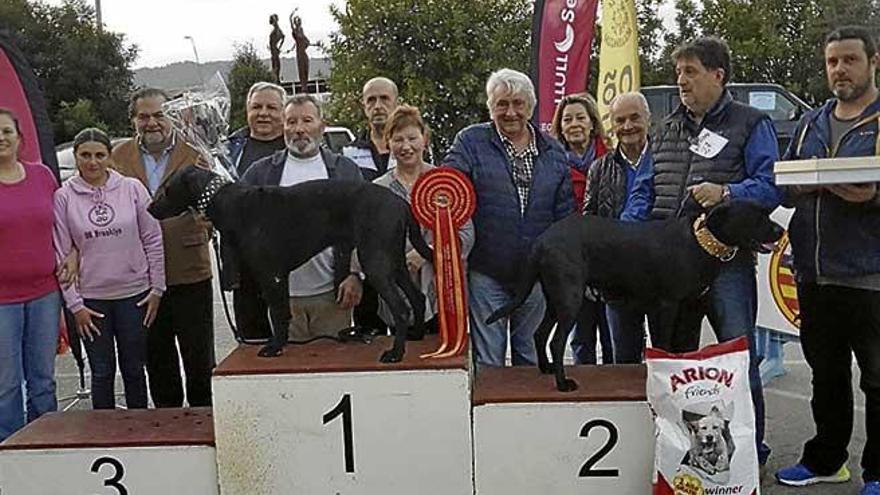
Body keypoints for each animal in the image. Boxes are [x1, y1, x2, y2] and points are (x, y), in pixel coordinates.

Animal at [150, 165, 434, 362]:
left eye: (165, 188)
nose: (149, 209)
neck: (229, 202)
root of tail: (401, 203)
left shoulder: (270, 274)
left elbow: (277, 313)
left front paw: (274, 347)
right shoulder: (279, 277)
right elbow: (285, 313)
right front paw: (282, 345)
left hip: (376, 263)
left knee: (401, 308)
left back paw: (395, 353)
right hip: (394, 262)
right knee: (417, 297)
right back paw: (416, 336)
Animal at [488, 200, 784, 394]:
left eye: (766, 212)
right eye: (756, 216)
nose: (780, 231)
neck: (701, 242)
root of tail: (542, 239)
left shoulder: (689, 307)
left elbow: (680, 347)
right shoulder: (666, 305)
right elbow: (664, 343)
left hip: (555, 298)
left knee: (540, 334)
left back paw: (547, 369)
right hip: (569, 297)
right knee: (557, 341)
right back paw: (562, 383)